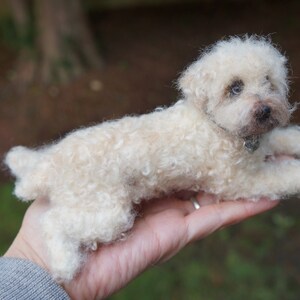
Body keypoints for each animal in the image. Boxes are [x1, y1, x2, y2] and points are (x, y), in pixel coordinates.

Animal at [4, 35, 300, 282]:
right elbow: (284, 174)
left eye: (268, 81)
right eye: (235, 87)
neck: (219, 128)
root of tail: (50, 165)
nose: (265, 110)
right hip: (108, 212)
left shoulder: (265, 144)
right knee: (52, 221)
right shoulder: (242, 182)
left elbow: (283, 137)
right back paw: (65, 264)